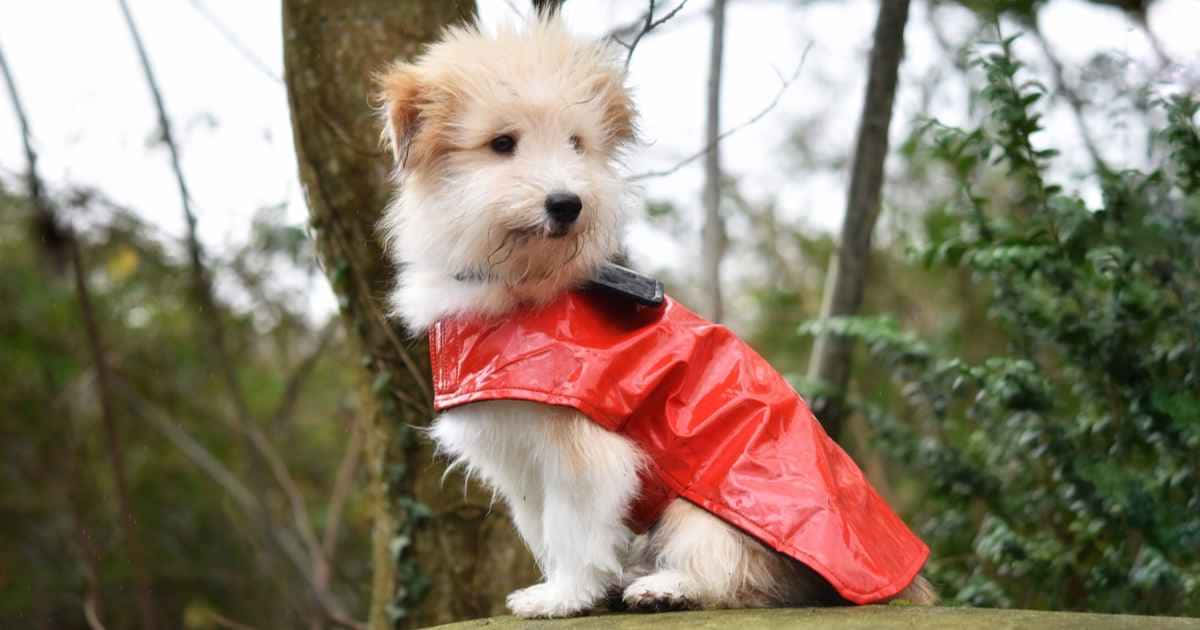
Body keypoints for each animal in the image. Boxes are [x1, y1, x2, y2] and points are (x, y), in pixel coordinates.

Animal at [374, 15, 936, 619]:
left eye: (576, 144)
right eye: (502, 144)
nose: (567, 203)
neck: (524, 283)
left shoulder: (585, 452)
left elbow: (571, 529)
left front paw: (565, 595)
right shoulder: (518, 457)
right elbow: (541, 526)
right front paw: (565, 588)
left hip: (706, 510)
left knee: (738, 578)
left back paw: (664, 587)